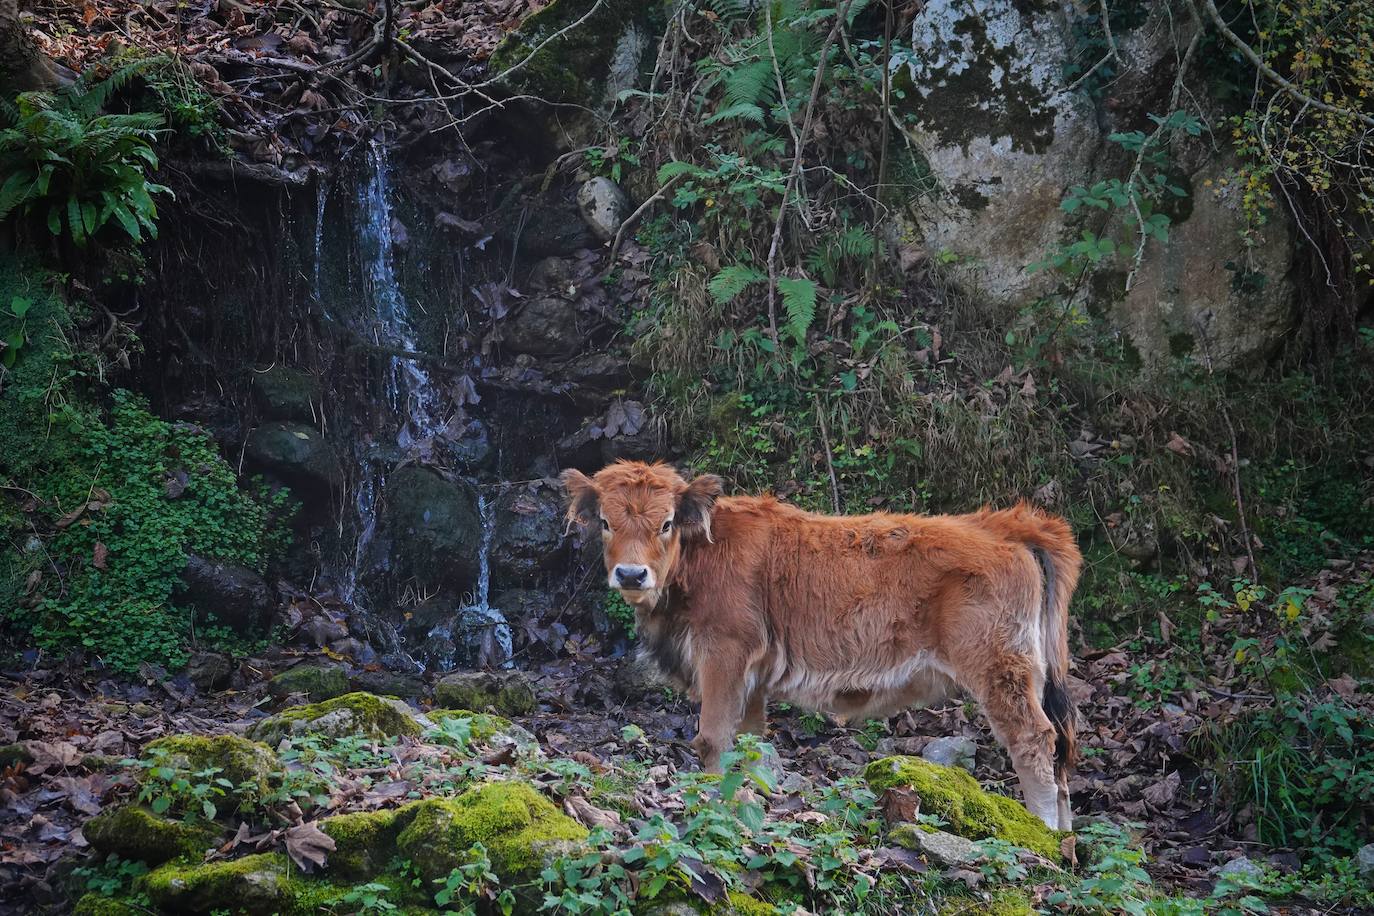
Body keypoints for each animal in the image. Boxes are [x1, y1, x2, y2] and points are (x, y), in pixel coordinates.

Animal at [557, 461, 1082, 829]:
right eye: (605, 522)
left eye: (665, 523)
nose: (631, 574)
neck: (703, 550)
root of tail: (1002, 524)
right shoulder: (751, 680)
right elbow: (750, 743)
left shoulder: (723, 657)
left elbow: (713, 738)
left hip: (999, 671)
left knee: (1034, 741)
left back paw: (1041, 835)